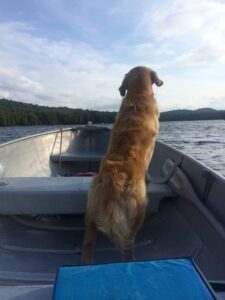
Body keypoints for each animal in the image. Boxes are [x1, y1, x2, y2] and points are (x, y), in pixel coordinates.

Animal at [81, 66, 163, 264]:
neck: (138, 94)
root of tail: (113, 178)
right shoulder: (153, 145)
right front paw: (149, 178)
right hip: (138, 210)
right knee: (128, 242)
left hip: (90, 211)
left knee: (88, 243)